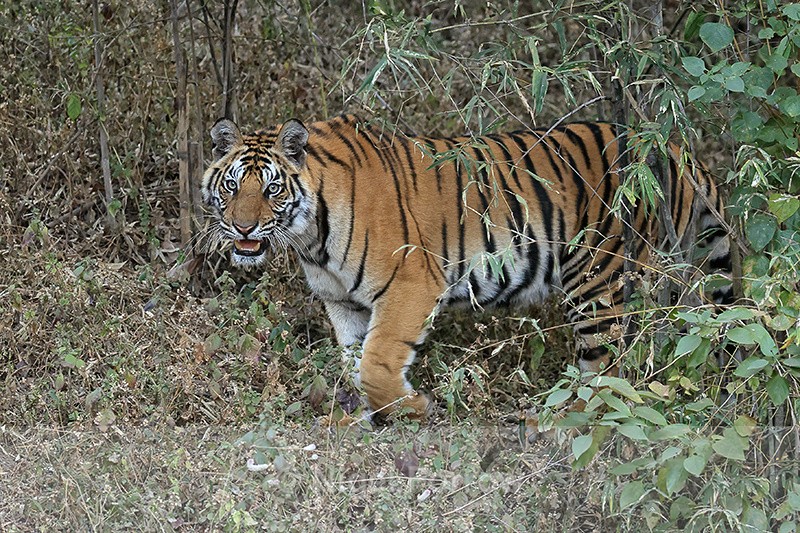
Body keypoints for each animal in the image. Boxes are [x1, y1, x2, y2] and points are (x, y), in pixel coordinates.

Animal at [200, 113, 731, 420]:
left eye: (271, 188)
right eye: (232, 186)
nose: (244, 228)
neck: (309, 235)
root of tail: (674, 149)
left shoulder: (411, 283)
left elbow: (376, 363)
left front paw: (414, 408)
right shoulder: (342, 303)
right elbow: (354, 364)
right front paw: (364, 420)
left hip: (598, 278)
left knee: (606, 366)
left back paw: (566, 423)